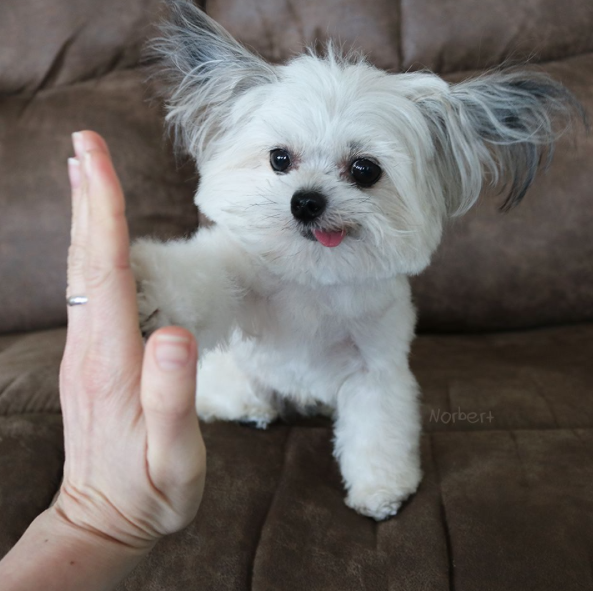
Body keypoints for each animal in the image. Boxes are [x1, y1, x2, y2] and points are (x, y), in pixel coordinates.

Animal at [132, 0, 580, 520]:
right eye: (279, 159)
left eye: (365, 170)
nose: (305, 201)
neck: (315, 275)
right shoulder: (241, 275)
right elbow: (202, 278)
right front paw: (149, 288)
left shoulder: (375, 370)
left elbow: (377, 431)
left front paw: (381, 490)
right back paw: (247, 408)